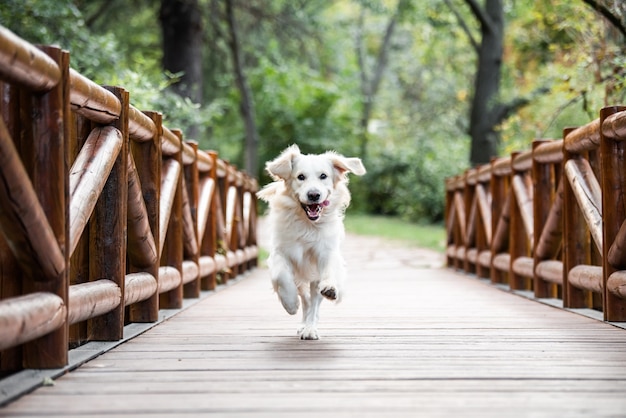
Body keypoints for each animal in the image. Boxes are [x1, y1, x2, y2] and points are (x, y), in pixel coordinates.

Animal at [258, 144, 366, 340]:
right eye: (301, 176)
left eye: (323, 176)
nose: (314, 195)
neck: (307, 225)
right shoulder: (279, 252)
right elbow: (281, 276)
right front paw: (290, 303)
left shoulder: (325, 252)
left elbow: (328, 272)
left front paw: (330, 288)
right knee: (306, 300)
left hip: (315, 280)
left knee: (314, 302)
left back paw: (309, 328)